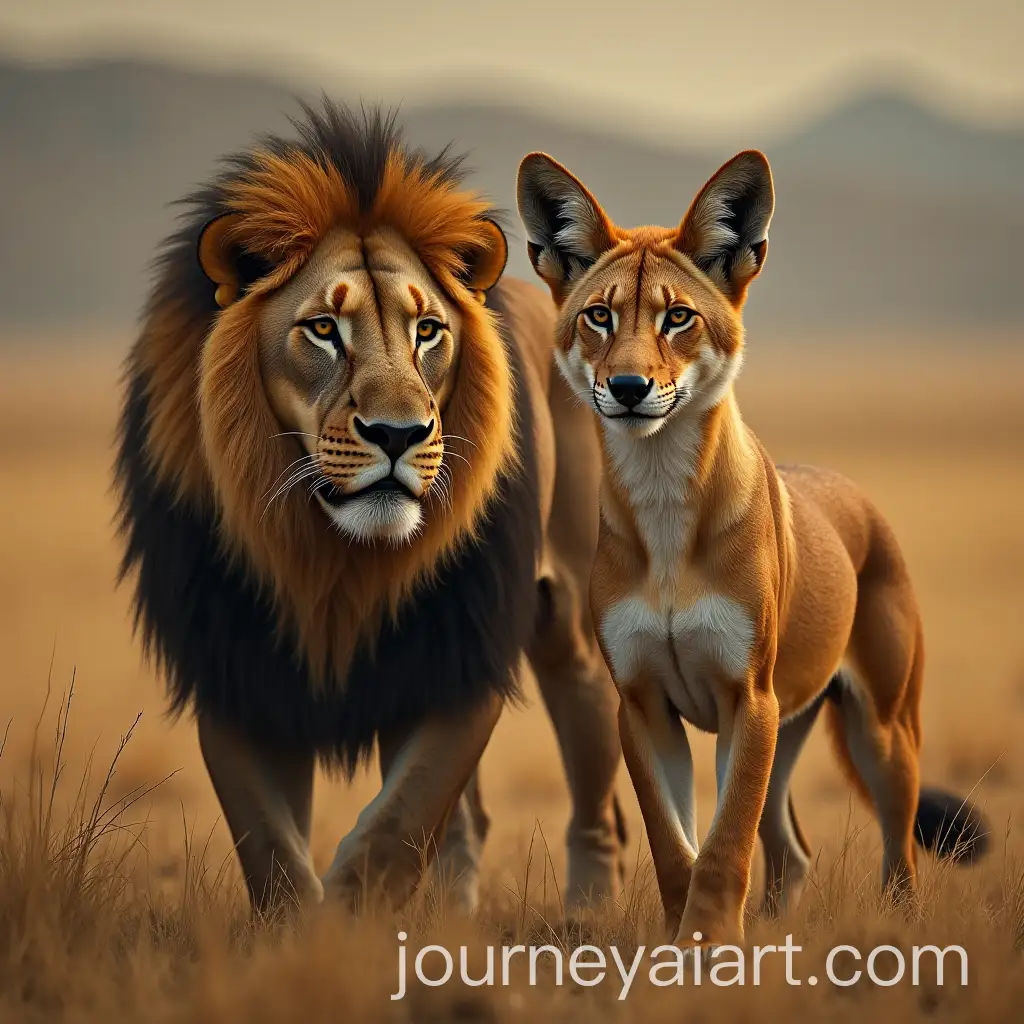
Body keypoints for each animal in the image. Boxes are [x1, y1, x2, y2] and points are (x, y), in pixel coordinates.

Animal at [114, 102, 624, 915]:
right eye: (324, 329)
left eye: (428, 330)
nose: (398, 434)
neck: (329, 558)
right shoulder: (233, 665)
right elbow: (271, 845)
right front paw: (303, 934)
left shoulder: (460, 648)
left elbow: (399, 823)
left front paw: (350, 922)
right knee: (470, 822)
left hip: (569, 621)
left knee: (594, 793)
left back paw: (589, 914)